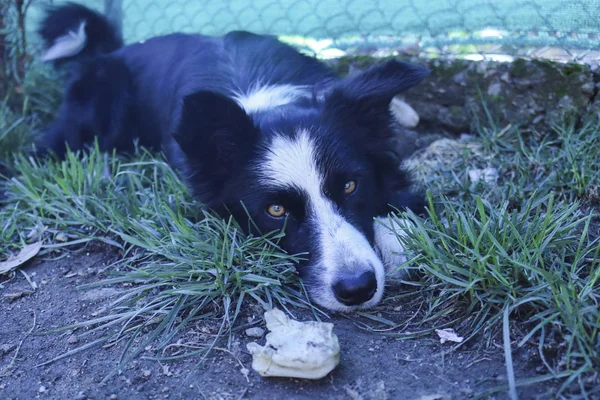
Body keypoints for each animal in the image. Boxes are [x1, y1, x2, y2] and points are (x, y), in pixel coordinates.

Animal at [36, 2, 426, 312]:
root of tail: (112, 51)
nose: (357, 288)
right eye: (276, 210)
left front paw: (395, 239)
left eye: (349, 186)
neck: (268, 103)